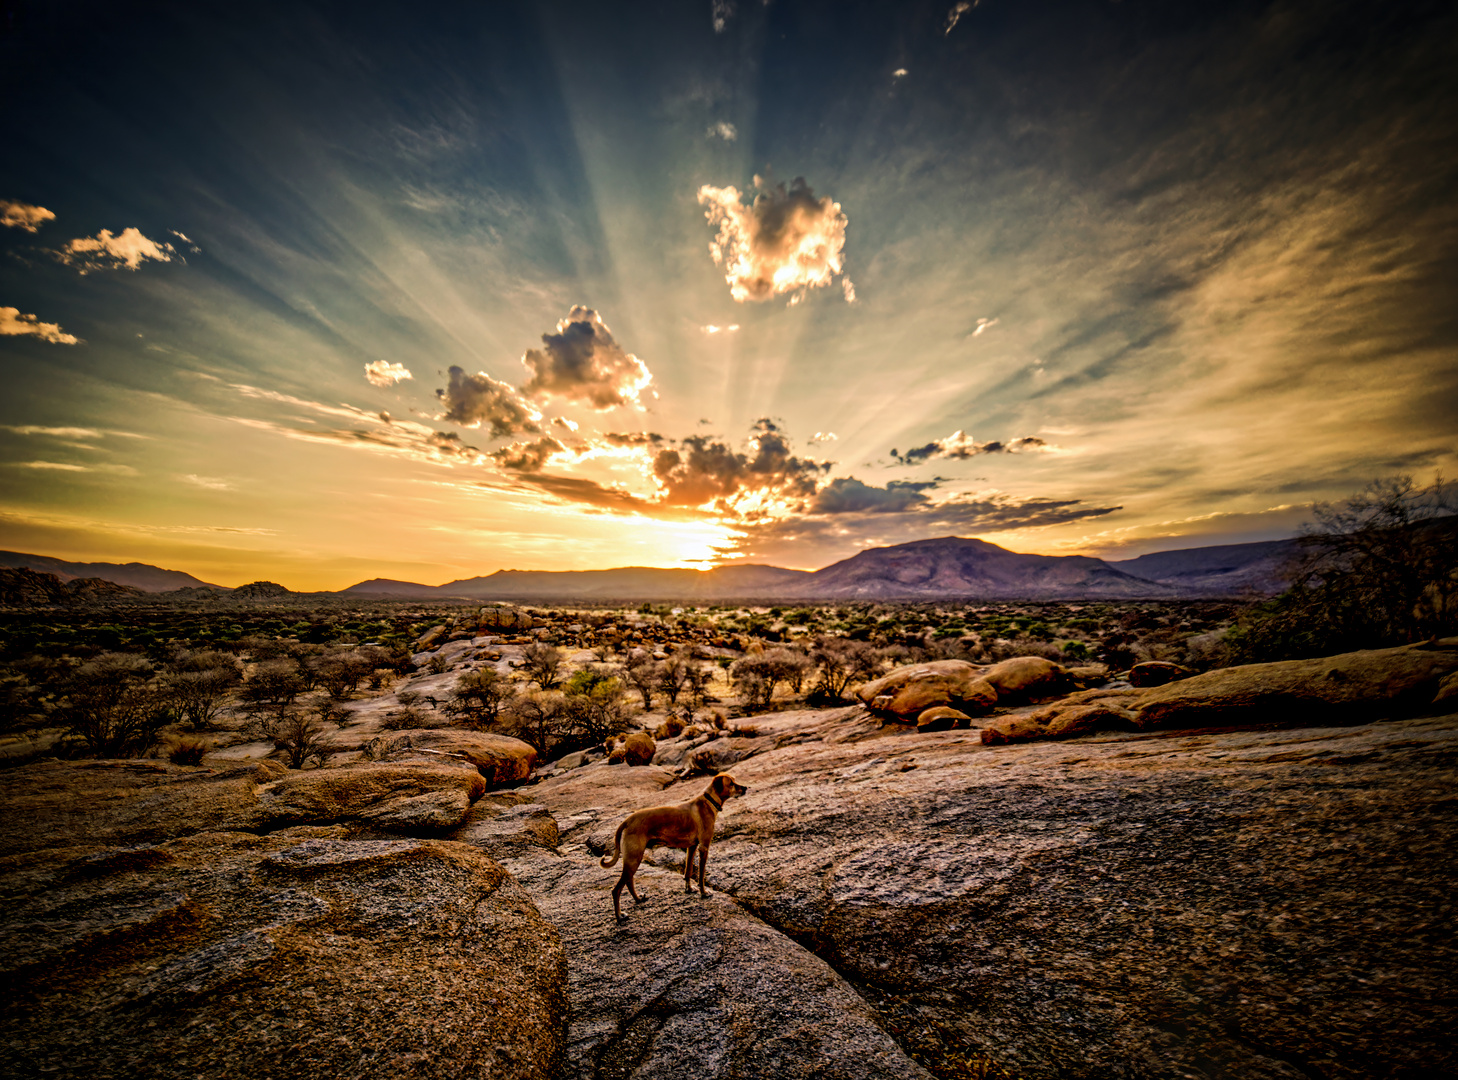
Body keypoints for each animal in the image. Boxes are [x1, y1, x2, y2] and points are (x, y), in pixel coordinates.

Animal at [597, 769, 746, 921]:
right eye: (731, 783)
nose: (745, 788)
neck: (709, 801)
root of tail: (627, 820)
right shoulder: (704, 847)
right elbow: (701, 875)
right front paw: (703, 893)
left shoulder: (692, 847)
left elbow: (688, 871)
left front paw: (689, 889)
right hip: (634, 858)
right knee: (616, 890)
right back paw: (620, 916)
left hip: (633, 859)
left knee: (629, 881)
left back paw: (638, 899)